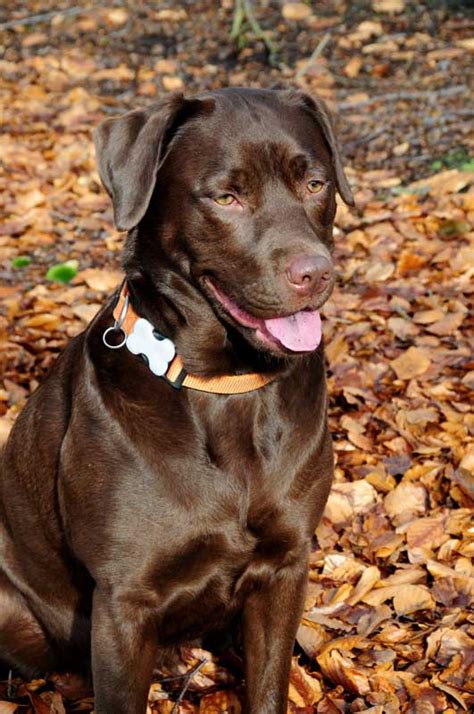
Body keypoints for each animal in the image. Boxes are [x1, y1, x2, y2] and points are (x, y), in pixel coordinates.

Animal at [0, 86, 352, 708]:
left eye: (316, 184)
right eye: (227, 197)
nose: (316, 273)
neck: (225, 388)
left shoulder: (286, 566)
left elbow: (268, 688)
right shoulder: (124, 601)